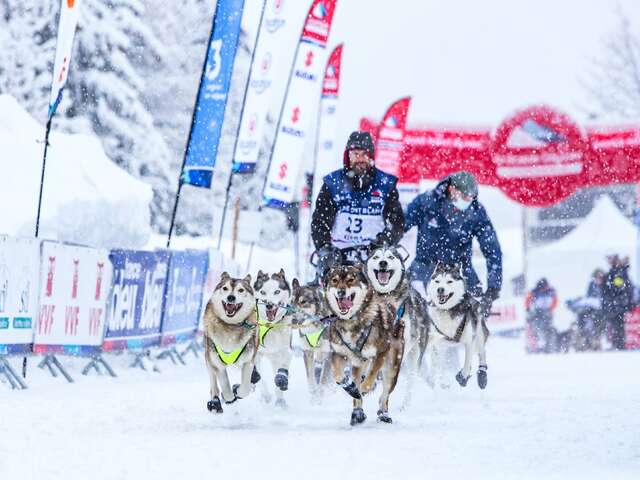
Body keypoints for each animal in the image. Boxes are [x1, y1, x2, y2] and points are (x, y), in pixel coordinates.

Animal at [202, 272, 258, 414]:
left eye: (241, 290)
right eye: (225, 288)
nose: (231, 297)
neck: (231, 326)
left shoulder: (248, 360)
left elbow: (245, 389)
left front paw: (237, 391)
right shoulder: (218, 362)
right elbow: (225, 387)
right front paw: (228, 397)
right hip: (208, 356)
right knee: (213, 383)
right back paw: (215, 402)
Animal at [255, 268, 296, 406]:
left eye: (277, 291)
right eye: (263, 292)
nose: (269, 305)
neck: (270, 326)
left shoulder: (286, 349)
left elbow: (283, 366)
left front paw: (282, 379)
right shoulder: (255, 354)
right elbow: (258, 376)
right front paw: (266, 395)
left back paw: (280, 400)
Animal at [324, 264, 404, 426]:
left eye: (351, 279)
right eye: (335, 280)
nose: (341, 292)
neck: (351, 321)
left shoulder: (381, 352)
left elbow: (371, 377)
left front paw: (365, 388)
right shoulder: (338, 353)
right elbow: (338, 376)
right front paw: (350, 387)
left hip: (392, 368)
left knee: (384, 394)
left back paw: (383, 414)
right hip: (357, 364)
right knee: (357, 389)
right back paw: (357, 413)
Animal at [364, 246, 430, 406]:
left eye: (390, 257)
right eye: (376, 257)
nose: (383, 263)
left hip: (415, 355)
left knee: (410, 380)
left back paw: (405, 404)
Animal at [424, 262, 490, 390]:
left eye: (449, 281)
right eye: (437, 281)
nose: (440, 289)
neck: (447, 310)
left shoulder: (469, 340)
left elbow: (467, 364)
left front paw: (462, 377)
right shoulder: (438, 342)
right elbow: (439, 364)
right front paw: (443, 381)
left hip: (478, 331)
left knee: (482, 352)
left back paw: (482, 375)